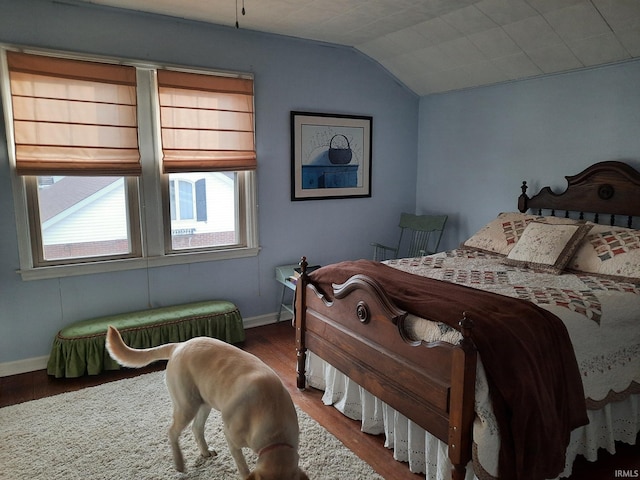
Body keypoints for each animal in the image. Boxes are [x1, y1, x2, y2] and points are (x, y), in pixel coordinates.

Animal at [104, 326, 308, 480]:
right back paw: (179, 463)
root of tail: (180, 345)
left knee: (196, 428)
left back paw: (204, 451)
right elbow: (242, 466)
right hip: (187, 404)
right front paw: (244, 473)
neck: (276, 438)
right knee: (172, 431)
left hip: (204, 402)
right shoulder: (231, 437)